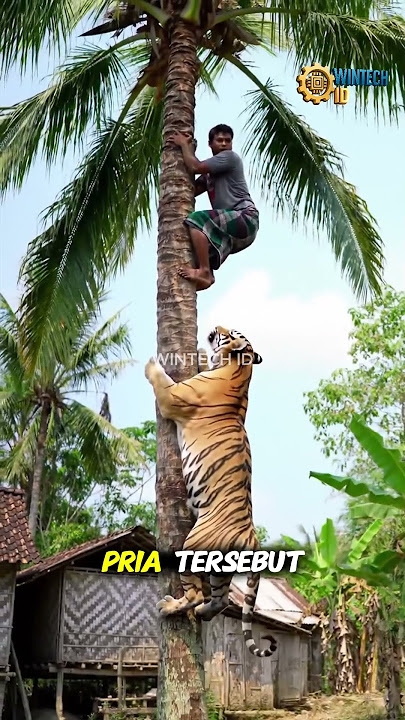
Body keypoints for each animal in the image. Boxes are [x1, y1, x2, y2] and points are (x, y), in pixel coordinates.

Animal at [144, 325, 277, 658]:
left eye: (232, 331)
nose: (215, 328)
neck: (240, 369)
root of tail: (251, 538)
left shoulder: (174, 396)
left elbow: (162, 381)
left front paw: (153, 363)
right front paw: (202, 355)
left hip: (192, 547)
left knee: (193, 593)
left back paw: (170, 606)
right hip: (221, 569)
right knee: (220, 600)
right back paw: (204, 612)